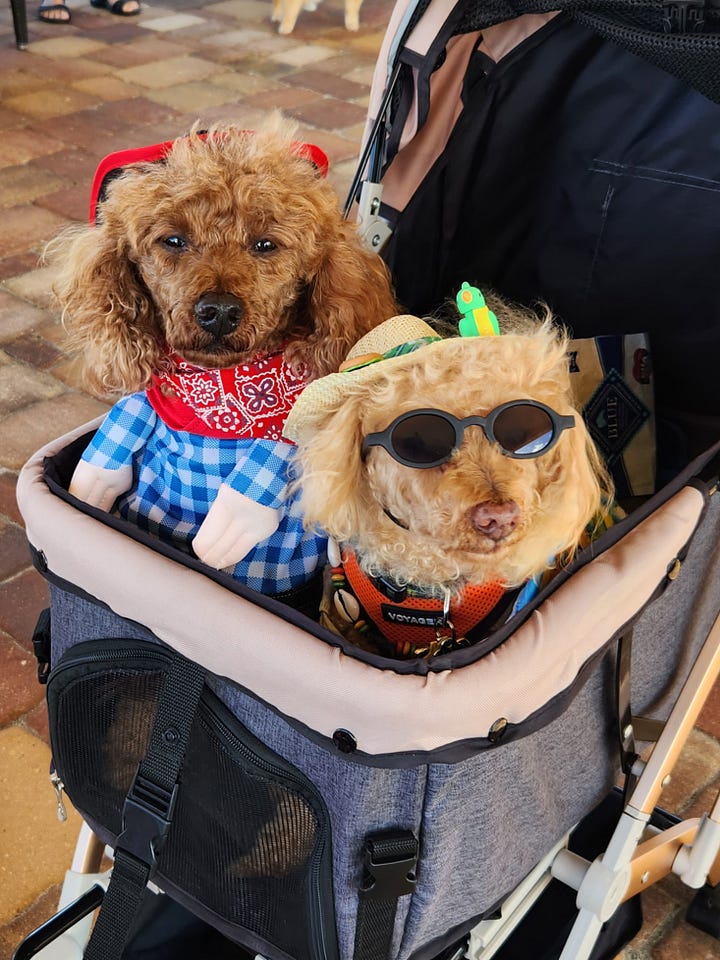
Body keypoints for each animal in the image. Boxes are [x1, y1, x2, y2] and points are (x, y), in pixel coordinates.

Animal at [49, 117, 400, 596]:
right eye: (173, 240)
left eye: (265, 244)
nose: (218, 310)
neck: (223, 390)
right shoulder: (152, 398)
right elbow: (128, 414)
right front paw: (90, 485)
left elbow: (273, 459)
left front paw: (224, 531)